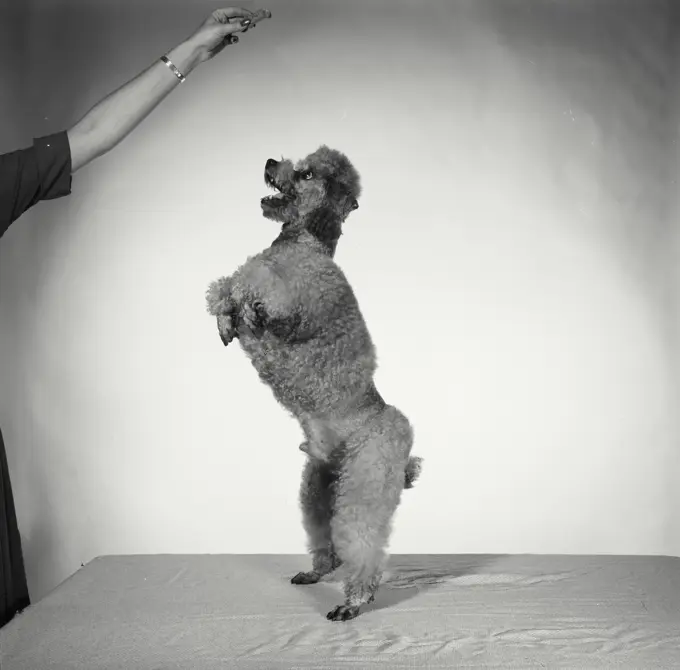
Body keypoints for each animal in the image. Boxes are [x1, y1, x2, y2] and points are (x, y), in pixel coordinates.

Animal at [205, 147, 422, 624]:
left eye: (304, 173)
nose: (270, 162)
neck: (306, 244)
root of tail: (404, 455)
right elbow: (225, 285)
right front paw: (226, 318)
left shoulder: (290, 302)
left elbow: (250, 283)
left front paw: (240, 310)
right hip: (318, 492)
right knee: (330, 545)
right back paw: (315, 572)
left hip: (364, 486)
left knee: (363, 547)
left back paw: (354, 600)